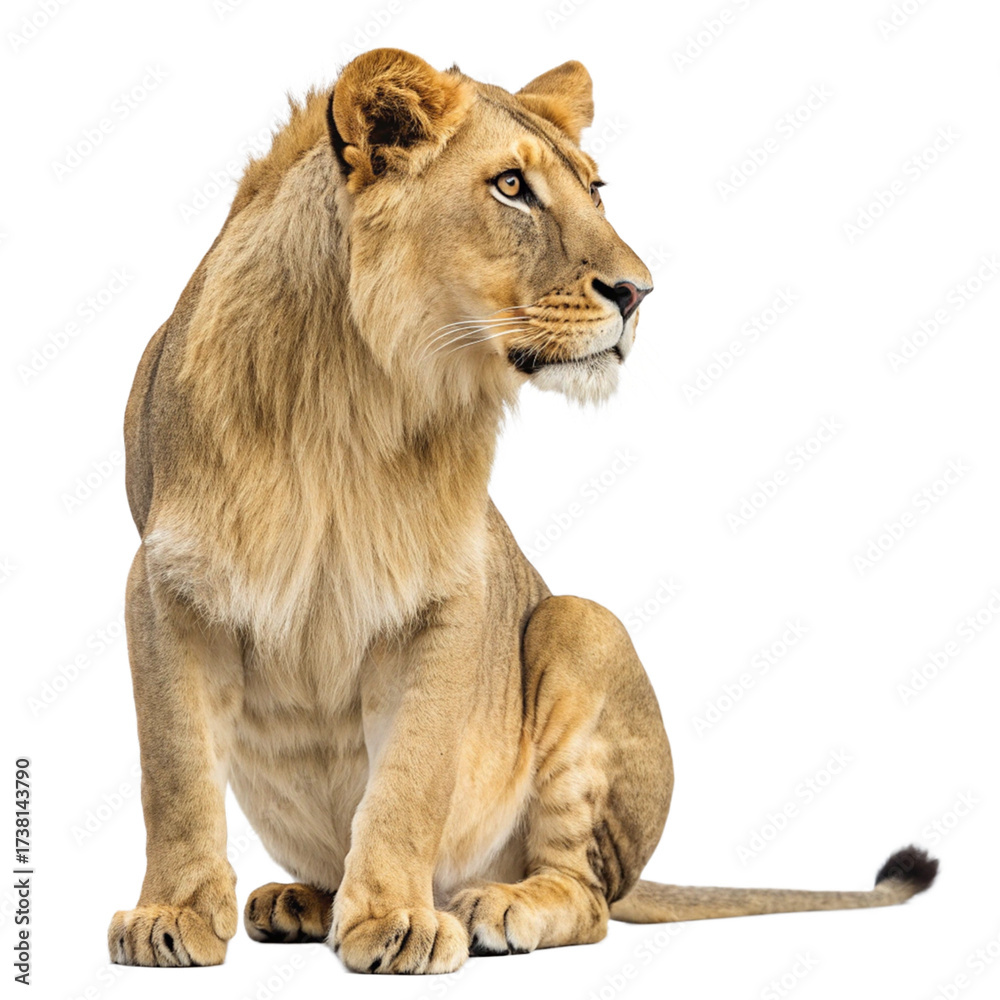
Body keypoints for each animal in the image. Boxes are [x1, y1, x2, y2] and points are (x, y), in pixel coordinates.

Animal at [109, 48, 937, 974]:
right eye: (511, 187)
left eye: (595, 188)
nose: (639, 292)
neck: (348, 398)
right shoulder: (163, 583)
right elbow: (175, 771)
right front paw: (170, 916)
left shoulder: (451, 591)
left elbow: (409, 777)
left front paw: (395, 920)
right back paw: (300, 900)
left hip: (582, 624)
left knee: (589, 896)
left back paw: (492, 907)